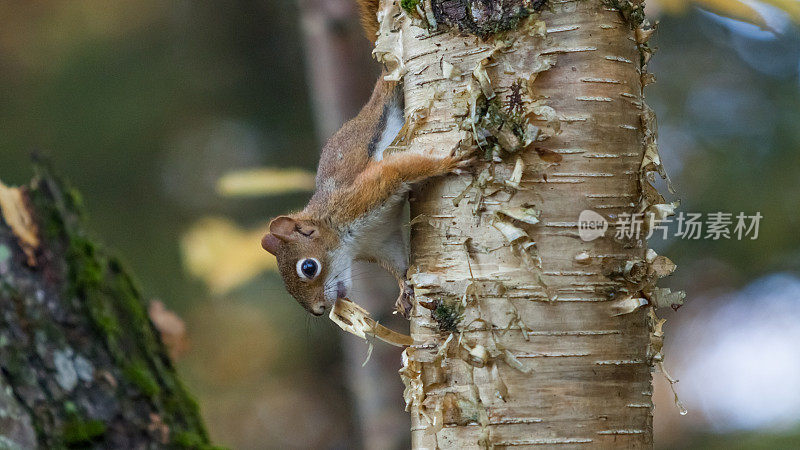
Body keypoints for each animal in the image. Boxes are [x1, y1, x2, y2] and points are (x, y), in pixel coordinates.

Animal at [264, 0, 468, 318]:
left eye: (308, 267)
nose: (319, 310)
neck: (349, 240)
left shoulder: (361, 197)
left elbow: (398, 170)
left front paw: (446, 164)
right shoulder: (382, 243)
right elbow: (399, 266)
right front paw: (404, 290)